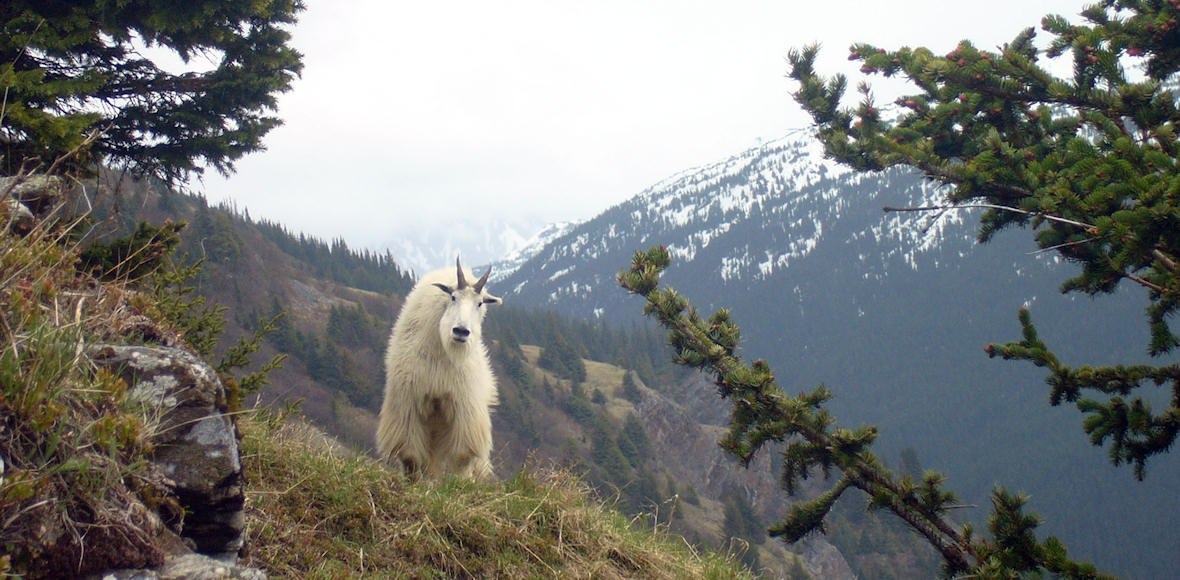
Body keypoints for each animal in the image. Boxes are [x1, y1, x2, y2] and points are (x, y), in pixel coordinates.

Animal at [375, 258, 500, 480]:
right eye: (453, 297)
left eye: (479, 303)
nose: (461, 331)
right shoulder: (408, 403)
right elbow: (410, 456)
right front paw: (413, 482)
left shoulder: (464, 407)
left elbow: (462, 457)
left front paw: (460, 483)